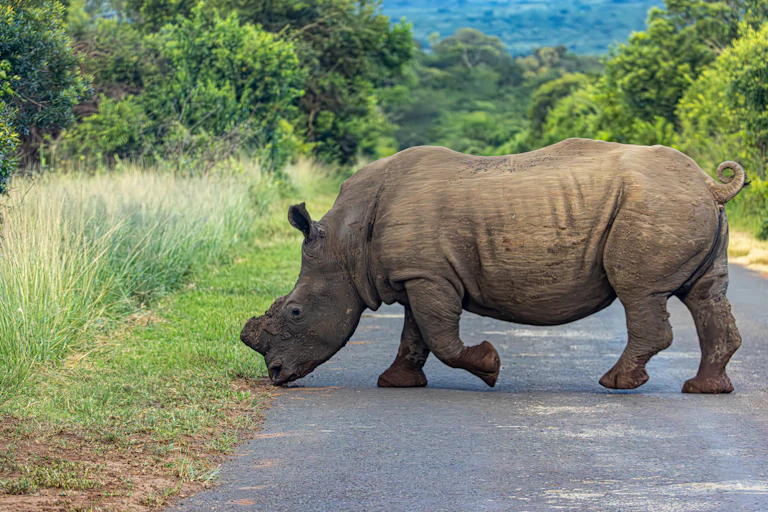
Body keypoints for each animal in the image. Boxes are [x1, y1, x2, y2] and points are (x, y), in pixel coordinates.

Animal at [241, 139, 746, 394]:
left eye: (295, 313)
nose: (276, 376)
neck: (345, 246)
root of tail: (710, 183)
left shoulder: (427, 275)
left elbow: (440, 335)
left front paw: (490, 367)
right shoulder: (418, 274)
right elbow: (415, 333)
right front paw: (396, 384)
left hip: (656, 203)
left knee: (639, 292)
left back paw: (617, 384)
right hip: (678, 202)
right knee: (705, 295)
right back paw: (704, 390)